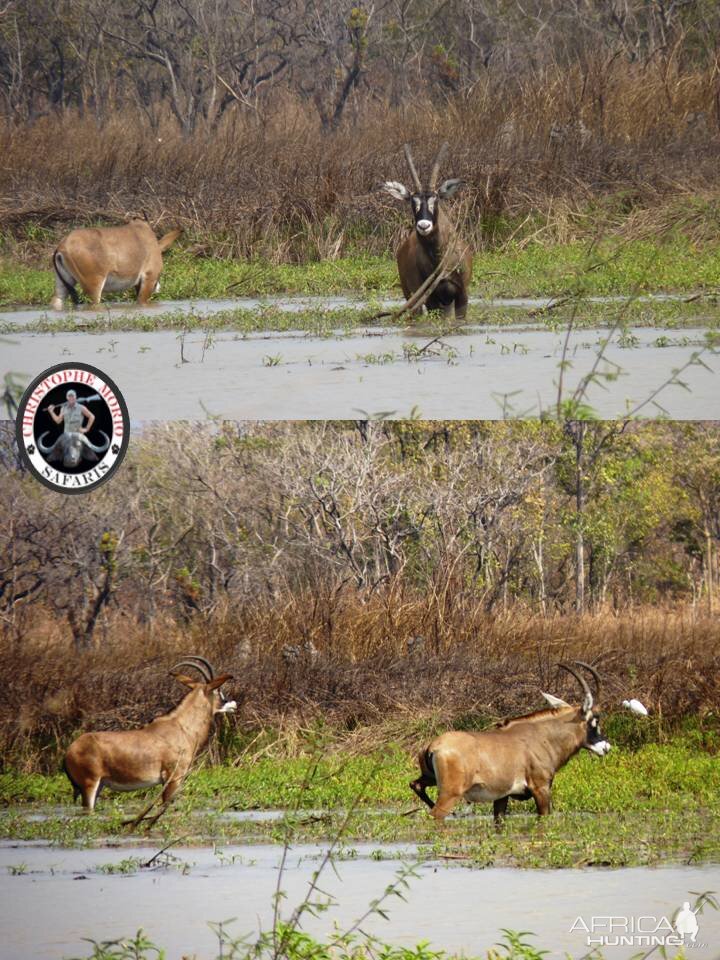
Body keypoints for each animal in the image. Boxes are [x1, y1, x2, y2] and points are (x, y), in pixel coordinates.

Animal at [51, 217, 180, 308]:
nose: (158, 288)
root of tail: (63, 245)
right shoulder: (149, 279)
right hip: (93, 287)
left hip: (63, 285)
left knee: (56, 301)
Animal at [63, 656, 235, 828]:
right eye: (218, 690)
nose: (232, 704)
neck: (182, 727)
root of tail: (70, 750)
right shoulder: (173, 778)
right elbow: (165, 810)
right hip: (90, 785)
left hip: (99, 785)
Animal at [380, 142, 476, 320]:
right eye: (413, 201)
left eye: (435, 199)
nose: (424, 225)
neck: (439, 260)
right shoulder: (431, 298)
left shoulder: (462, 294)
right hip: (413, 296)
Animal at [410, 660, 608, 824]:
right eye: (595, 720)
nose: (606, 747)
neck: (542, 737)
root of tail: (433, 746)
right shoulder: (541, 788)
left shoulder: (502, 796)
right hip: (450, 794)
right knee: (435, 815)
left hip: (431, 779)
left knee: (416, 785)